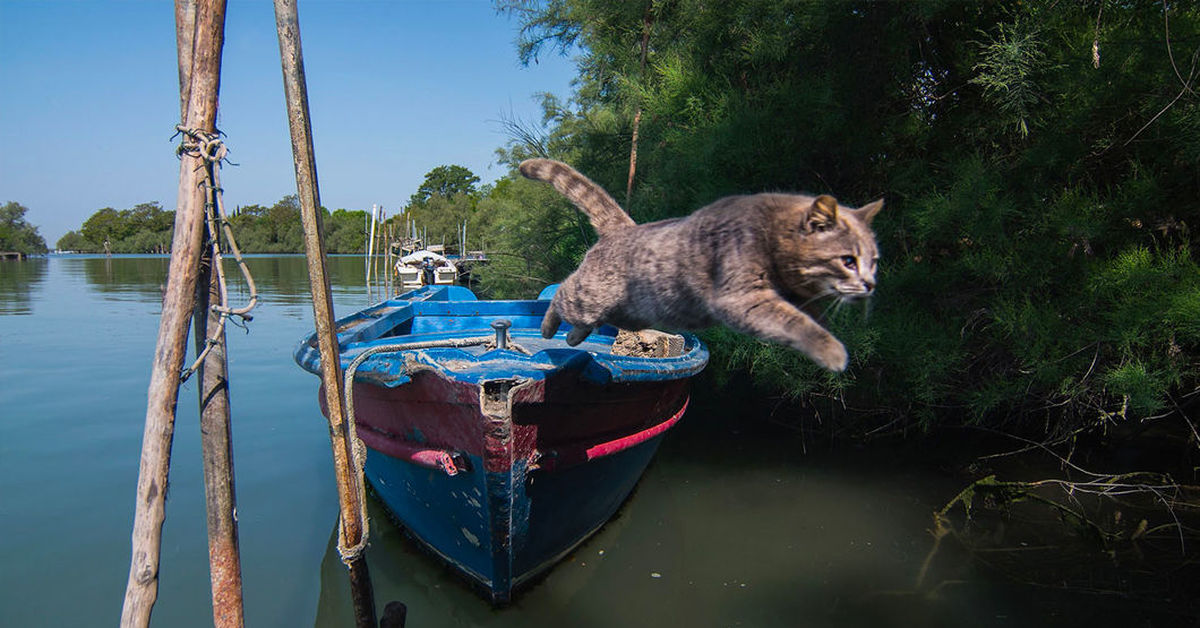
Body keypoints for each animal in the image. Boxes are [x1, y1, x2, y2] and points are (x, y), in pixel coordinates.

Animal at [518, 159, 883, 372]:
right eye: (848, 261)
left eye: (874, 261)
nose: (870, 285)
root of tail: (626, 227)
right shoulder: (743, 299)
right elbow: (794, 322)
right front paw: (833, 351)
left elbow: (810, 316)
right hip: (590, 296)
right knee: (563, 292)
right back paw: (549, 330)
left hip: (629, 311)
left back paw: (572, 339)